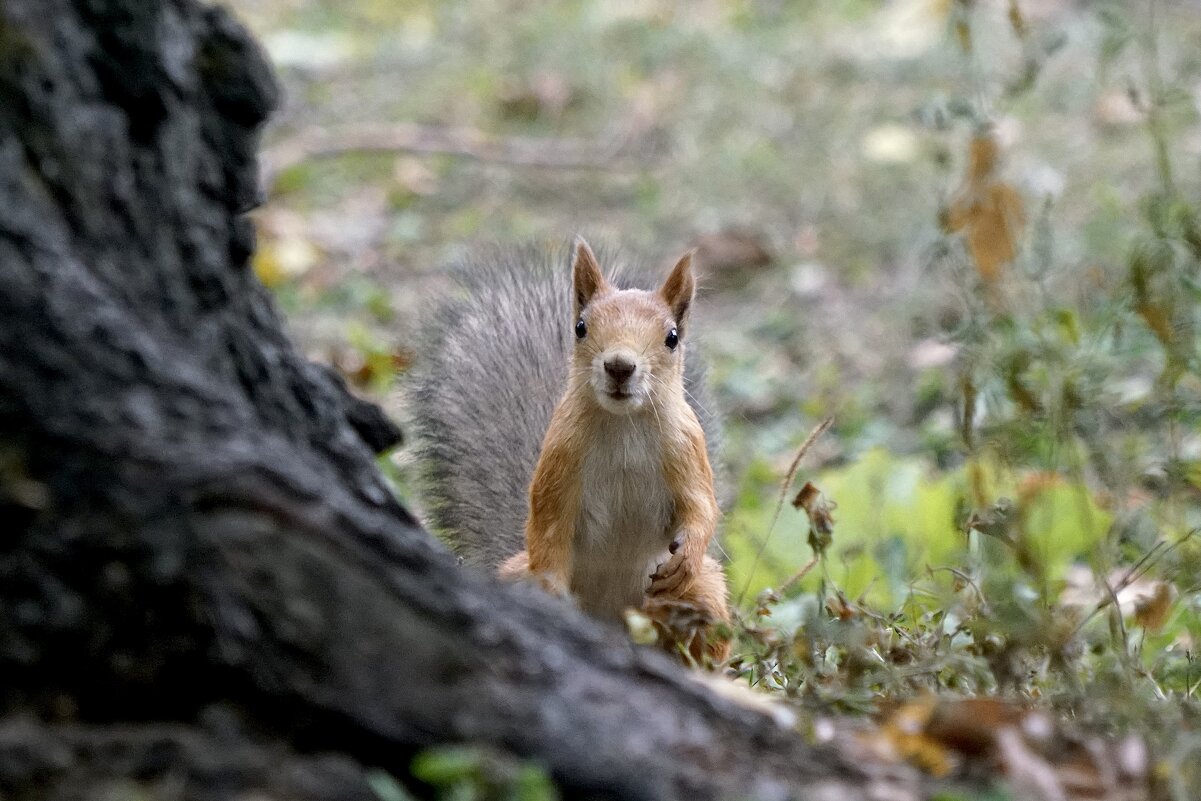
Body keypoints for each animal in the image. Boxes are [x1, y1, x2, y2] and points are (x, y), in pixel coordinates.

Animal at [410, 235, 730, 662]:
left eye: (672, 337)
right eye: (580, 327)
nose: (619, 366)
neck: (623, 424)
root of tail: (612, 625)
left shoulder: (688, 449)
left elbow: (702, 507)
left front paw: (688, 554)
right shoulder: (560, 458)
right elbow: (546, 525)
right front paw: (551, 596)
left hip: (703, 595)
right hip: (514, 576)